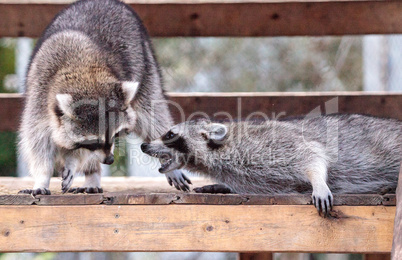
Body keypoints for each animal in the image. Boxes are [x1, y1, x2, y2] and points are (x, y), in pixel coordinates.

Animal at [19, 0, 192, 195]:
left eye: (116, 134)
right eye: (94, 140)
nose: (109, 160)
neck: (83, 72)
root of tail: (107, 1)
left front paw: (73, 161)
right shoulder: (39, 101)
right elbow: (39, 143)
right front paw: (42, 178)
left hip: (146, 67)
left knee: (151, 114)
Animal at [142, 115, 402, 216]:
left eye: (169, 134)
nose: (144, 145)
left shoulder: (273, 142)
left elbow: (313, 154)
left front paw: (318, 180)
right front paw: (220, 186)